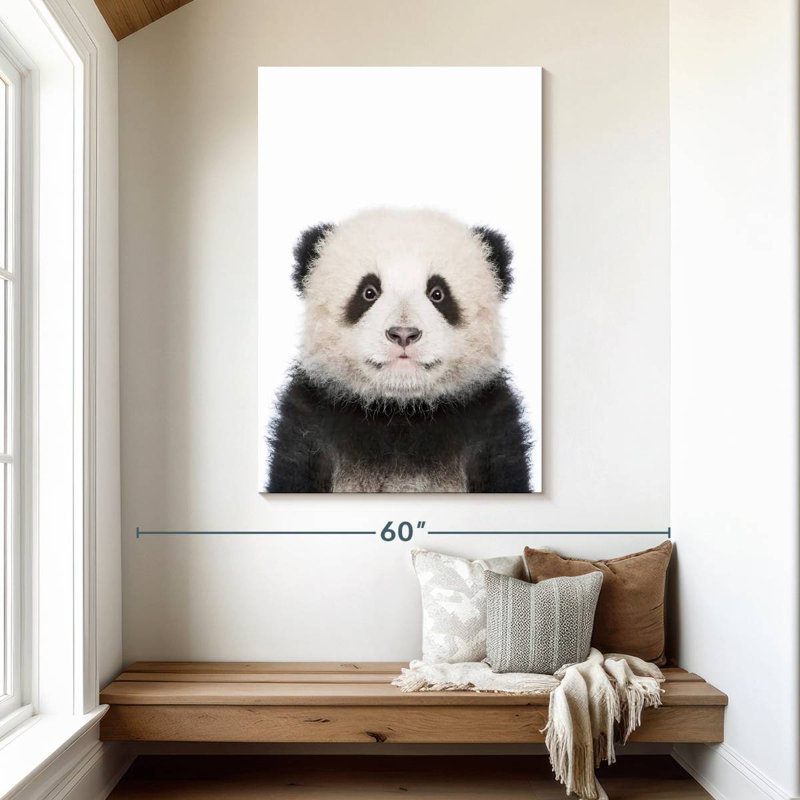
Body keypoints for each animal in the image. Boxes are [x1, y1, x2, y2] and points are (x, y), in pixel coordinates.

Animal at [266, 208, 532, 493]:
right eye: (368, 292)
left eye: (438, 293)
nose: (403, 333)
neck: (400, 412)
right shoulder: (309, 425)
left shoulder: (491, 427)